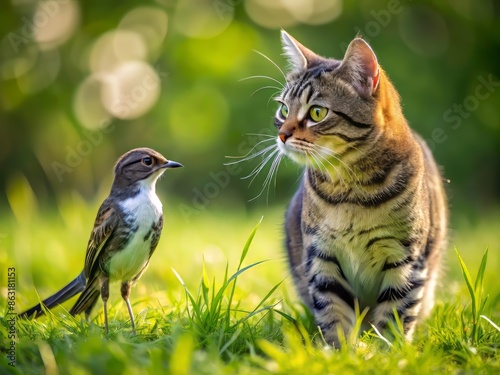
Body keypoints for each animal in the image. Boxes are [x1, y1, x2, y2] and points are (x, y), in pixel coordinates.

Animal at [276, 31, 448, 346]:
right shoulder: (322, 258)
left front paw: (390, 353)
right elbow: (333, 314)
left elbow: (395, 316)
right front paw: (340, 352)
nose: (281, 135)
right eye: (283, 109)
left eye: (316, 112)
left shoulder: (405, 259)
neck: (351, 192)